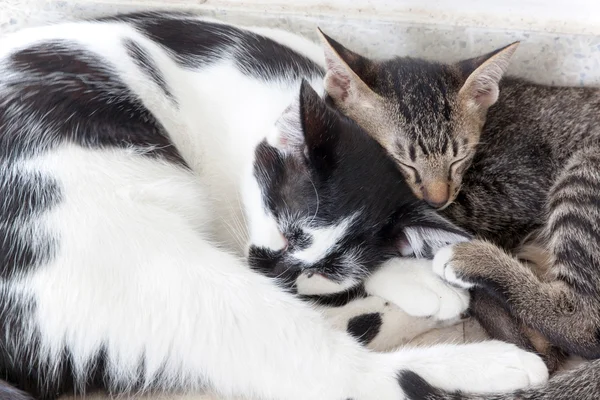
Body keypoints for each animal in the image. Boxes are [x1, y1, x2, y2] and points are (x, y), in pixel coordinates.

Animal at [0, 10, 548, 400]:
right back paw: (495, 362)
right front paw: (417, 280)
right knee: (348, 377)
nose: (274, 273)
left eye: (327, 269)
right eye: (285, 230)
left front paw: (409, 275)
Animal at [316, 28, 600, 396]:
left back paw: (473, 259)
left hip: (584, 170)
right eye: (403, 161)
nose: (437, 198)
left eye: (457, 159)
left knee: (583, 323)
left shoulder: (518, 187)